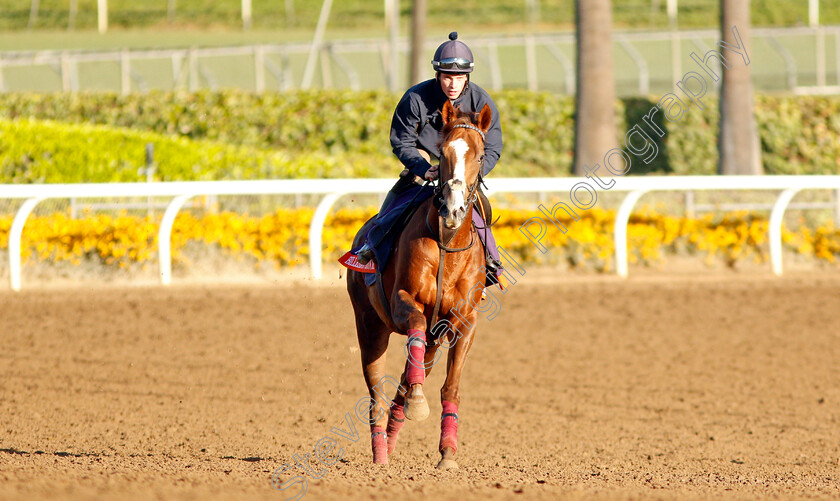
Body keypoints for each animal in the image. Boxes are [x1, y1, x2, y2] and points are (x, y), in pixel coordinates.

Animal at [346, 100, 492, 468]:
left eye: (480, 155)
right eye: (444, 151)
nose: (453, 209)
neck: (448, 245)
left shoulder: (464, 320)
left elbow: (450, 386)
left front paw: (448, 453)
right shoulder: (403, 301)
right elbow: (413, 326)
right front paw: (418, 404)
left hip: (434, 339)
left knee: (403, 383)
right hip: (369, 324)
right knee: (377, 394)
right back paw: (381, 454)